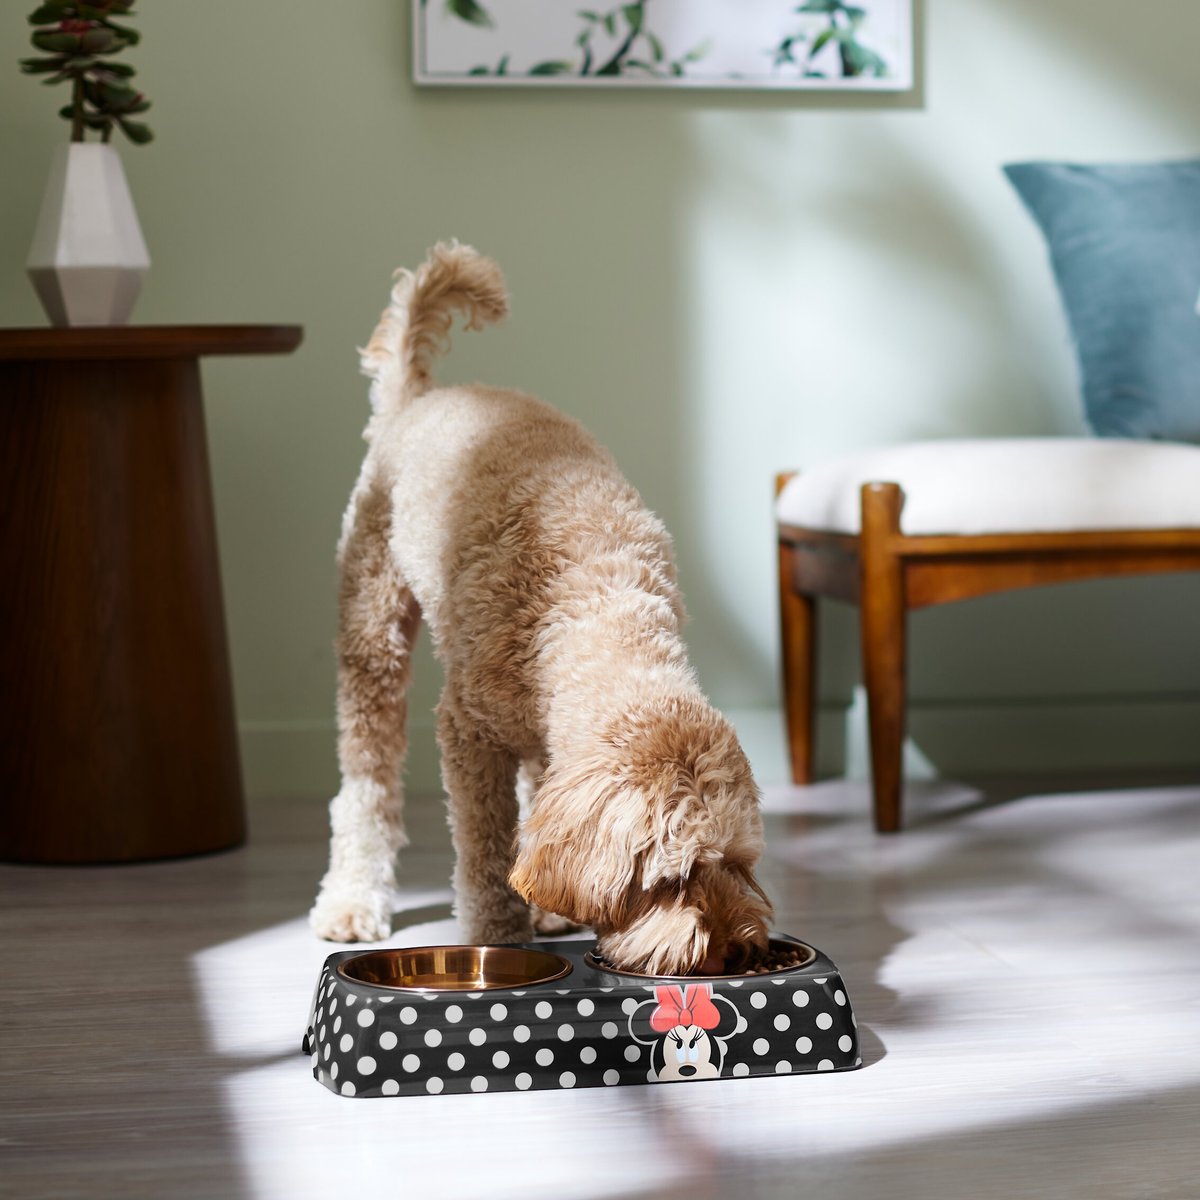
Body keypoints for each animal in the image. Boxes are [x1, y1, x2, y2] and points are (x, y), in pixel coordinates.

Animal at [309, 243, 772, 974]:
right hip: (372, 628)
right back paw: (352, 900)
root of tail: (418, 398)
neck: (594, 604)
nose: (735, 952)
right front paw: (497, 936)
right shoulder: (468, 732)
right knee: (366, 782)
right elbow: (486, 851)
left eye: (739, 862)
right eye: (671, 878)